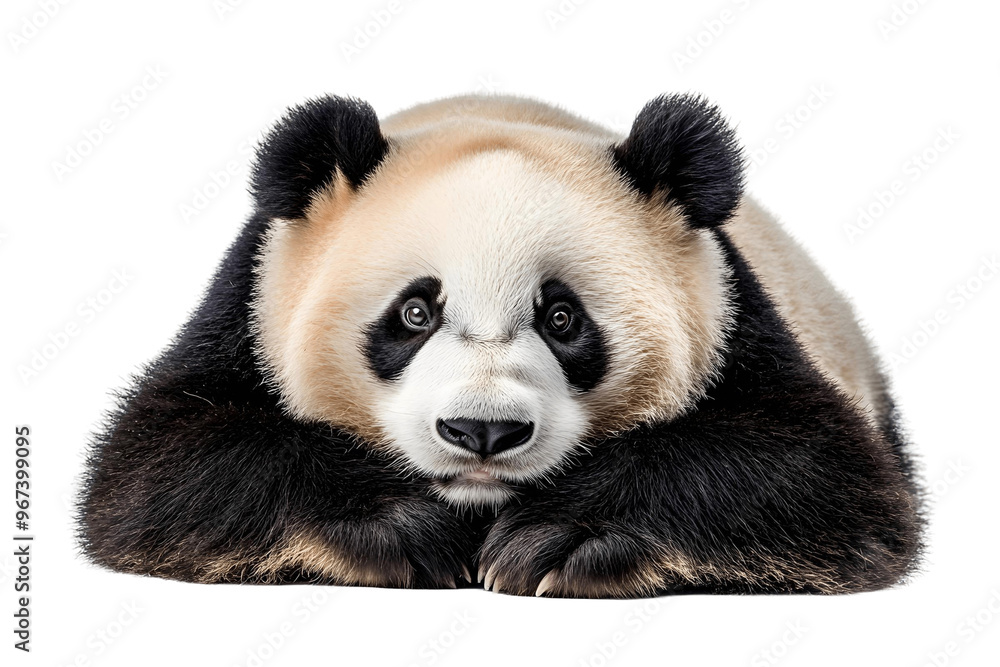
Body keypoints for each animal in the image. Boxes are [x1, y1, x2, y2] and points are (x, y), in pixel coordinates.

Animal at [78, 93, 923, 597]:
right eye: (415, 313)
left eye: (563, 319)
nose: (482, 432)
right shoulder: (249, 300)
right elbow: (164, 466)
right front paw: (406, 529)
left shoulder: (738, 319)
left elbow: (816, 475)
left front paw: (557, 539)